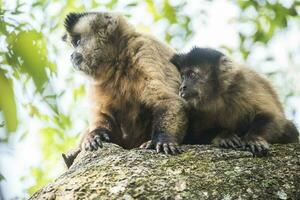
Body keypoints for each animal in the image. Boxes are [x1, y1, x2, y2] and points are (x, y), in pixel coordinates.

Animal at [170, 47, 298, 156]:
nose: (182, 87)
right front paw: (224, 135)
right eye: (183, 77)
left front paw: (254, 138)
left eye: (192, 75)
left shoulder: (244, 85)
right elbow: (193, 135)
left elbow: (274, 117)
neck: (219, 97)